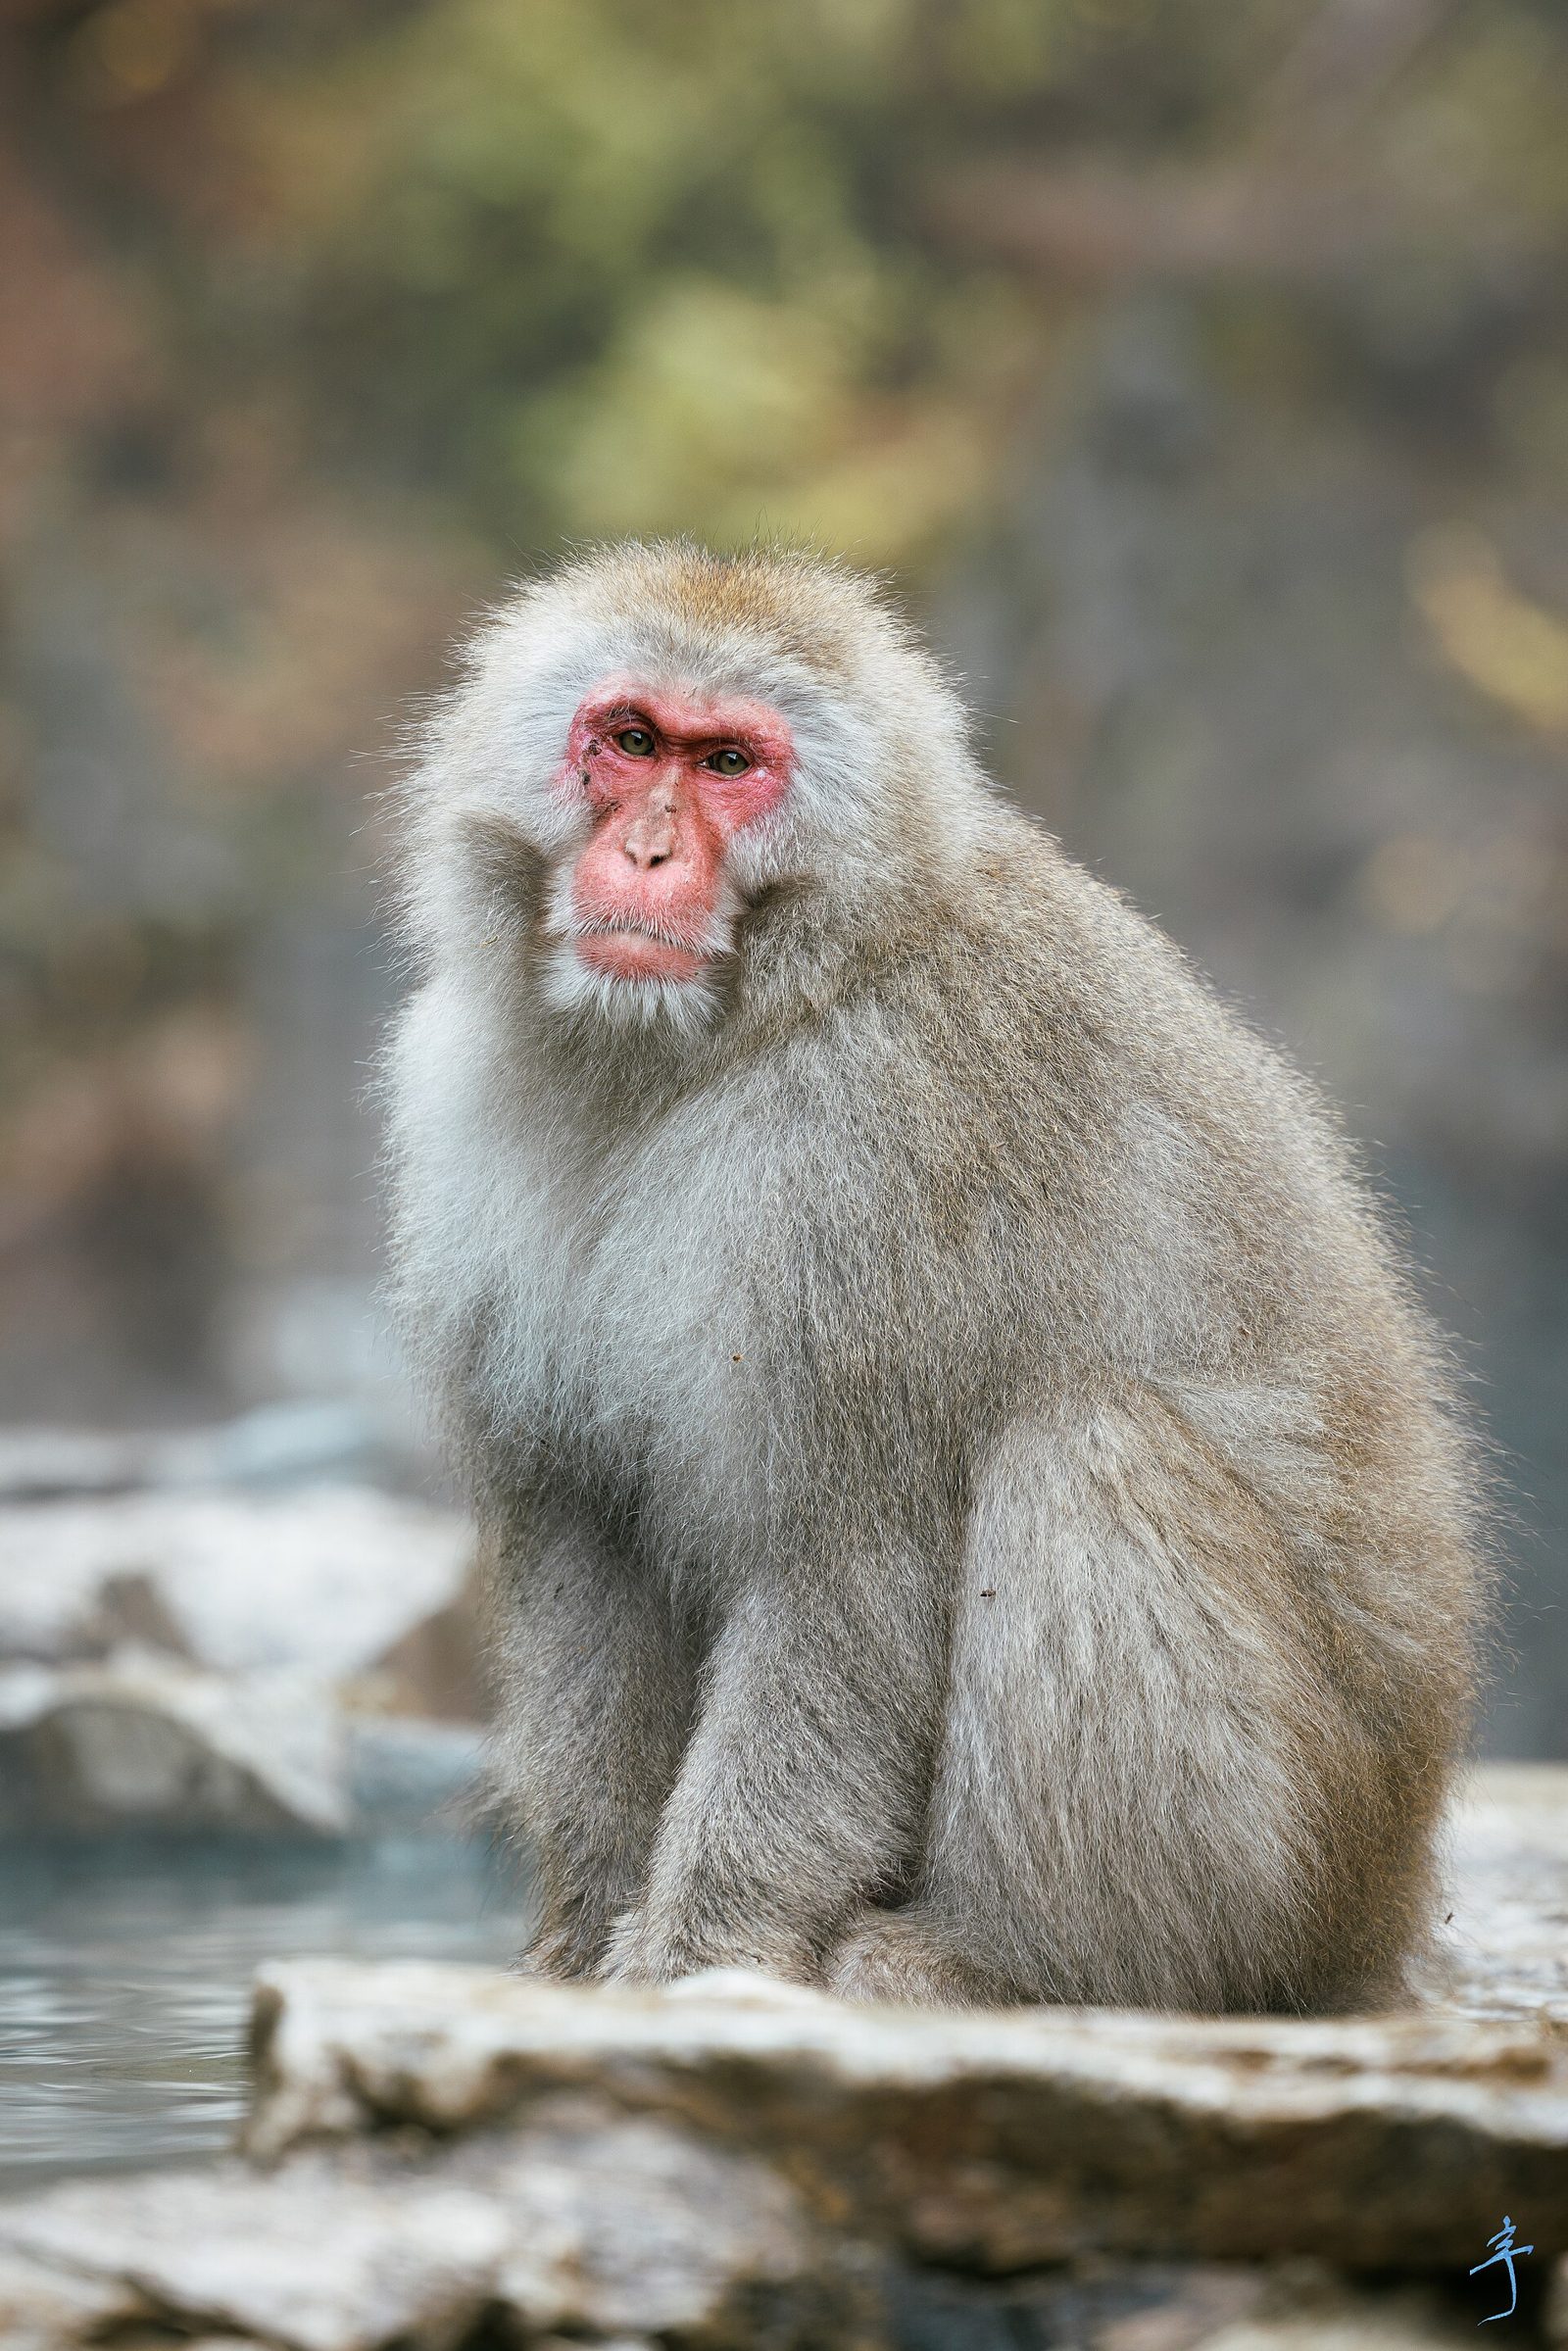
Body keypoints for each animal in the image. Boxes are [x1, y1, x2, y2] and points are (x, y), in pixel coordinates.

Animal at [382, 539, 1485, 2014]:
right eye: (629, 740)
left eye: (729, 762)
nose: (648, 847)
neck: (722, 1031)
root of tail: (1390, 1899)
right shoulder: (462, 1102)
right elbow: (583, 1539)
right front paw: (582, 1942)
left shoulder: (871, 1164)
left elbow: (848, 1566)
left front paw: (699, 1954)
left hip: (1290, 1852)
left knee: (1082, 1445)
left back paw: (1008, 1961)